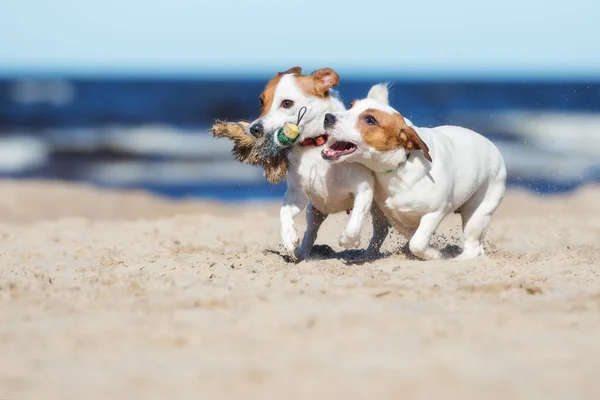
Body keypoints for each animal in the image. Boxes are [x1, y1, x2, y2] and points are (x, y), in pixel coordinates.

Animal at [248, 67, 390, 260]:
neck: (314, 146)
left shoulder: (364, 188)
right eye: (261, 101)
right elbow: (284, 212)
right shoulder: (297, 194)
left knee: (381, 229)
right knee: (311, 232)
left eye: (287, 103)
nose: (254, 129)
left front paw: (349, 240)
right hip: (314, 210)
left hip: (378, 208)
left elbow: (356, 221)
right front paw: (289, 238)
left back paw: (367, 255)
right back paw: (302, 253)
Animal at [322, 84, 504, 260]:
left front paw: (434, 254)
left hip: (478, 213)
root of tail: (493, 146)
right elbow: (411, 237)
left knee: (473, 245)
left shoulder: (435, 212)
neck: (400, 165)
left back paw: (460, 258)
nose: (328, 117)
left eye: (370, 120)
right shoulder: (394, 217)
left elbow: (417, 243)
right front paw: (428, 251)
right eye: (350, 106)